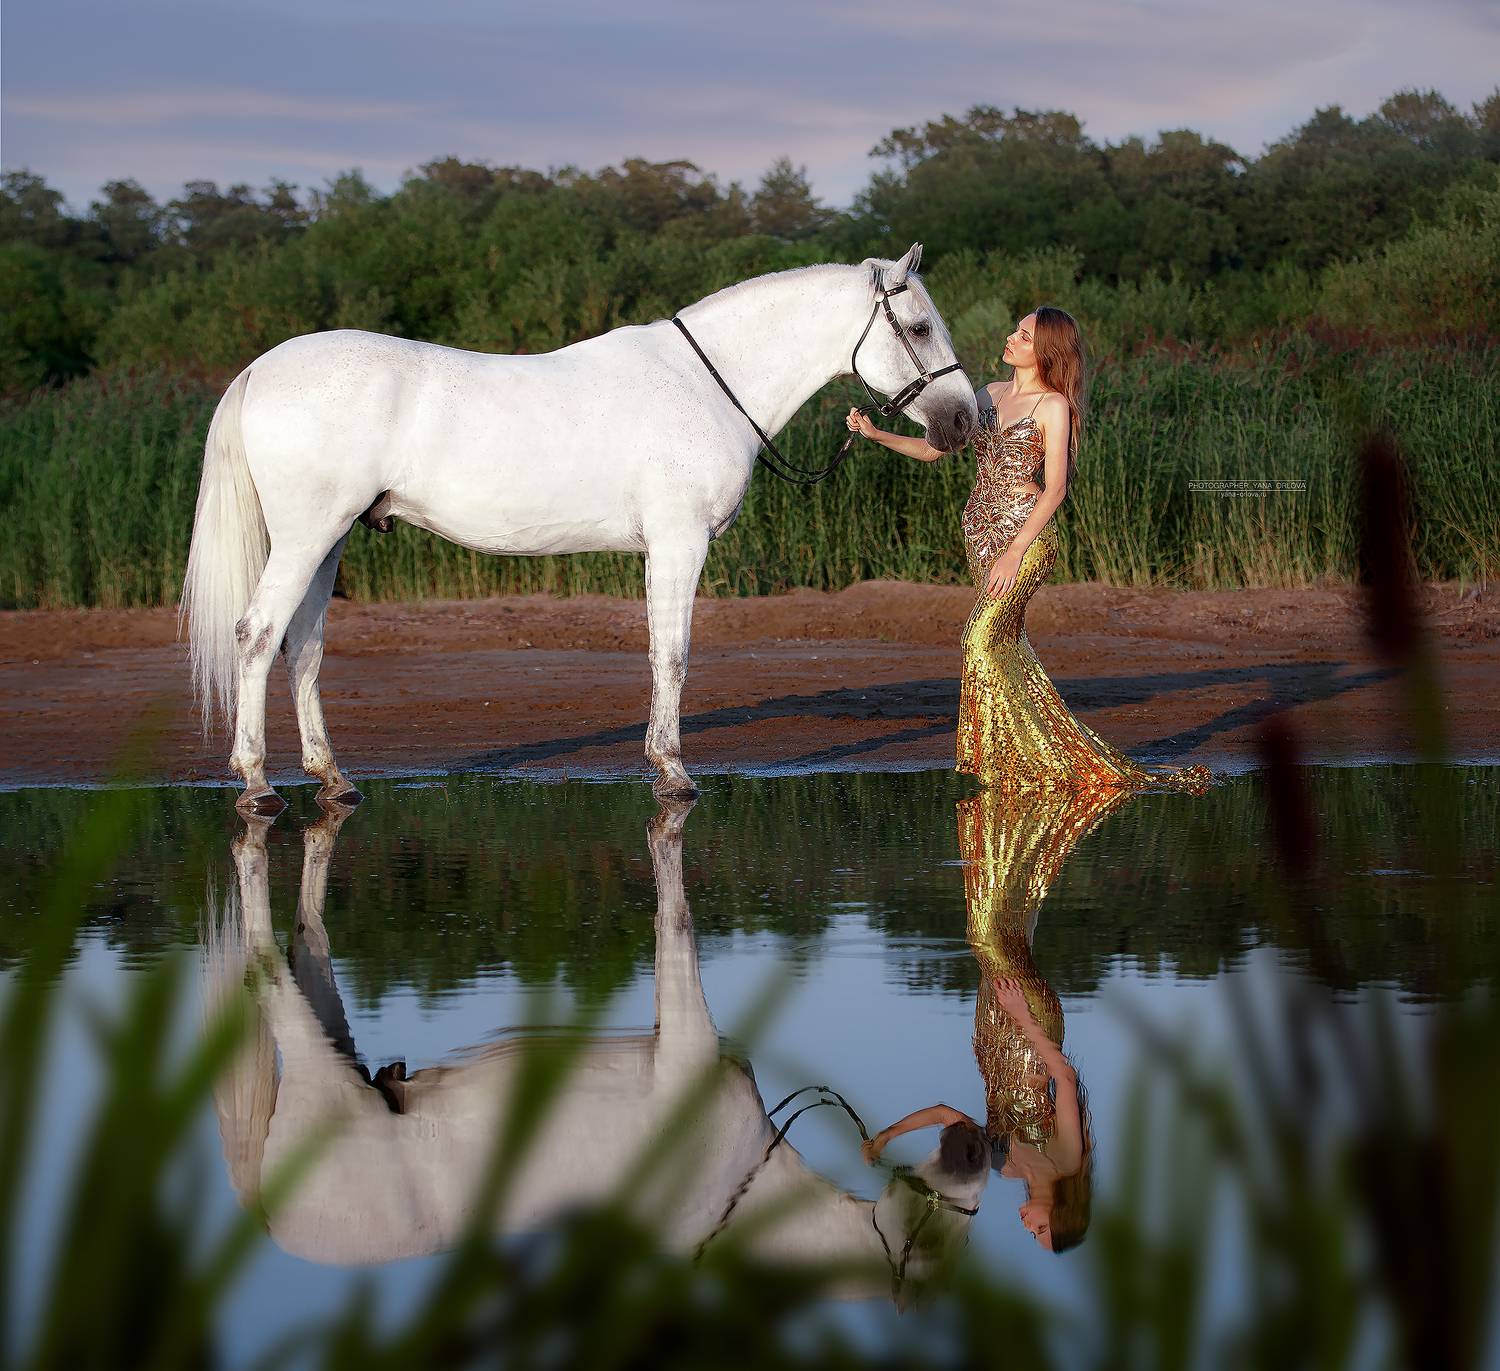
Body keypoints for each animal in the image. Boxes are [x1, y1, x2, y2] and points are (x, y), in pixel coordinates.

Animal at [179, 243, 976, 813]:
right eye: (918, 327)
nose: (967, 420)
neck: (707, 384)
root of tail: (260, 369)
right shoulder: (678, 543)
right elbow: (672, 656)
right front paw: (673, 772)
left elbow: (661, 655)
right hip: (308, 537)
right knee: (256, 635)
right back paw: (256, 785)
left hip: (330, 540)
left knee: (304, 647)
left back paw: (333, 779)